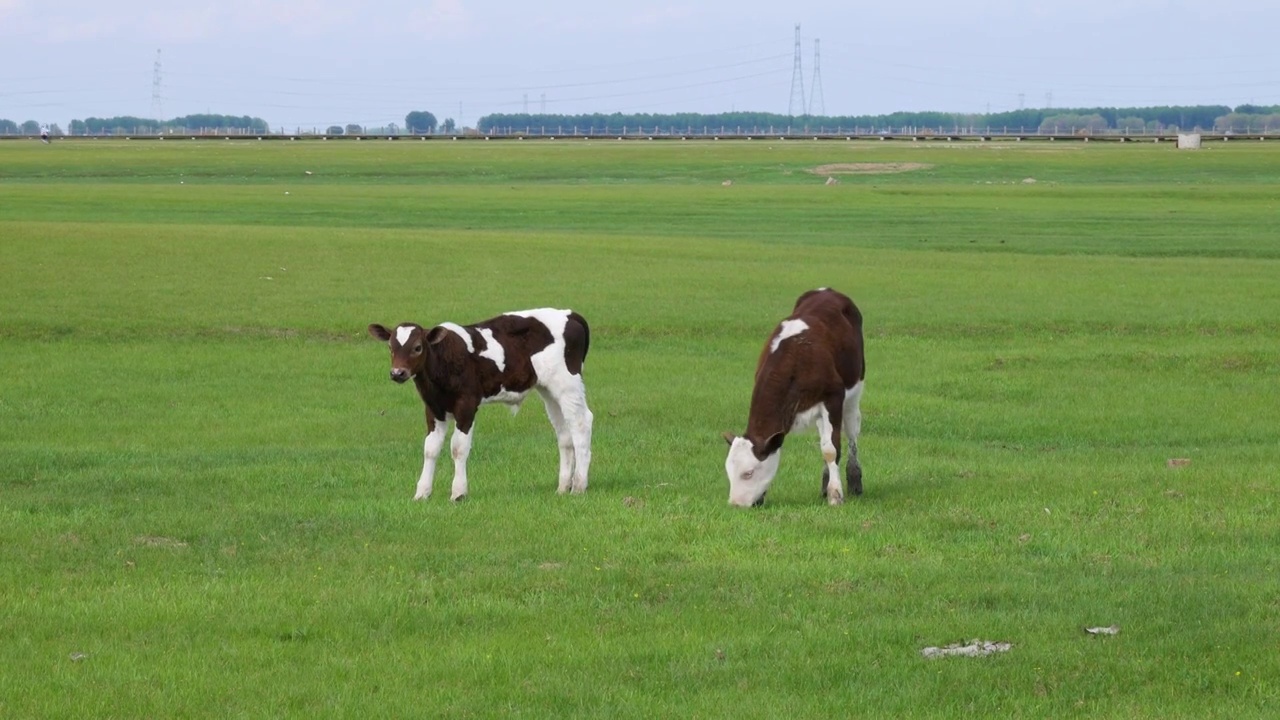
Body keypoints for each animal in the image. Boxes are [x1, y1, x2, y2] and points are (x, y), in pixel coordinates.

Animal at [368, 307, 591, 499]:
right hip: (549, 390)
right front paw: (422, 493)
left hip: (568, 384)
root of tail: (570, 314)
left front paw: (458, 493)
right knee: (564, 434)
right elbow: (430, 449)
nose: (397, 373)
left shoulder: (467, 404)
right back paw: (563, 487)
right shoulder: (433, 408)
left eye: (417, 347)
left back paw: (579, 486)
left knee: (581, 424)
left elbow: (458, 447)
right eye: (390, 347)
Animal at [727, 285, 865, 504]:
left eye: (748, 473)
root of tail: (827, 290)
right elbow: (825, 444)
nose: (735, 505)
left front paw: (835, 494)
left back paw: (854, 480)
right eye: (728, 472)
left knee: (852, 431)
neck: (797, 358)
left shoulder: (833, 398)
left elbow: (831, 449)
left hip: (854, 390)